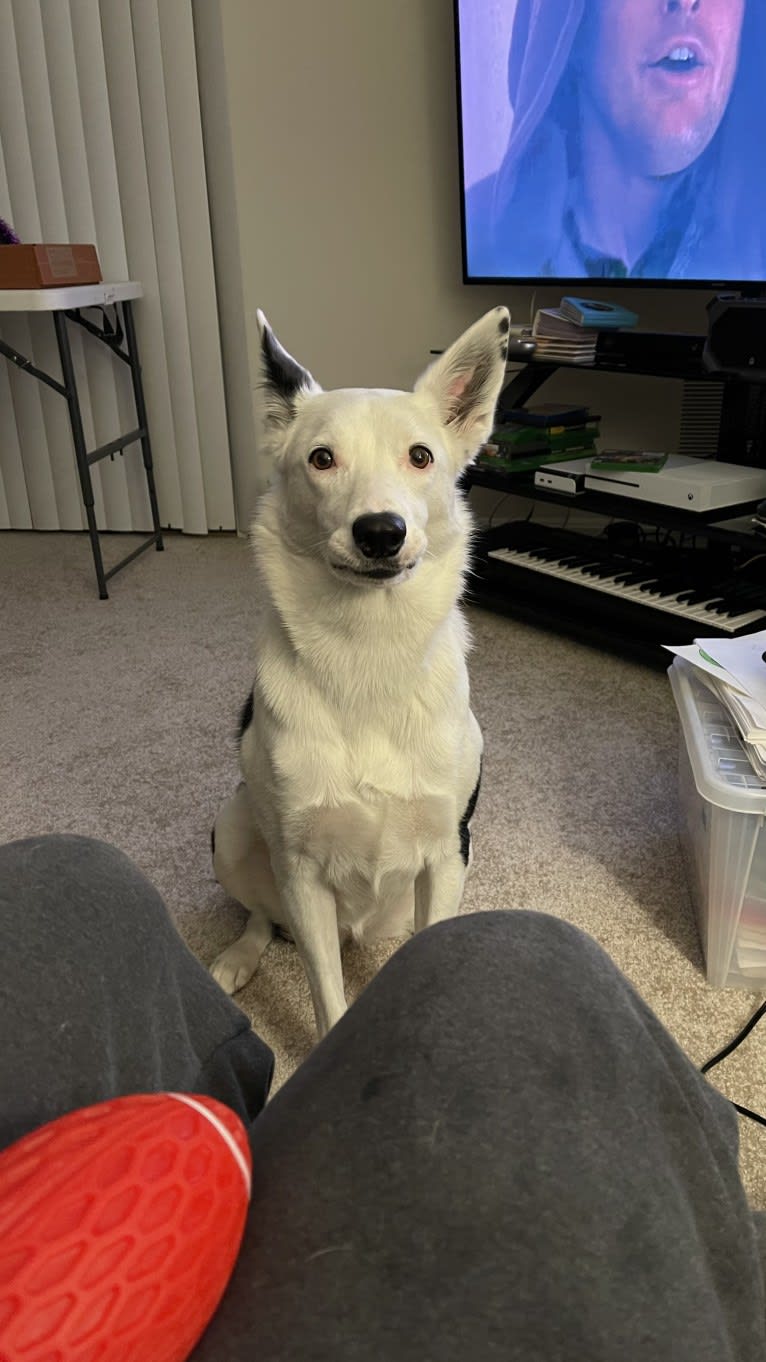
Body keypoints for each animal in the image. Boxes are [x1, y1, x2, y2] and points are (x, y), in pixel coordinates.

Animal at [208, 306, 507, 1029]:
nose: (380, 532)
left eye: (421, 456)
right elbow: (326, 990)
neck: (369, 648)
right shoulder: (300, 871)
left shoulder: (447, 850)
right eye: (322, 458)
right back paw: (240, 956)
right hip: (233, 830)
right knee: (260, 916)